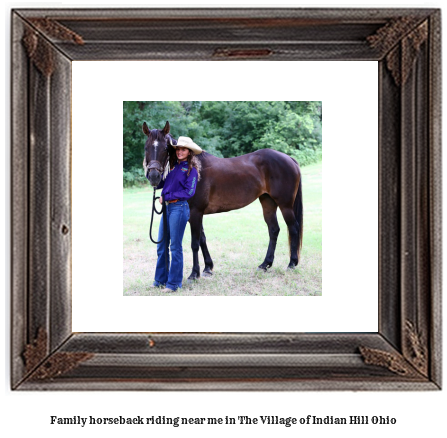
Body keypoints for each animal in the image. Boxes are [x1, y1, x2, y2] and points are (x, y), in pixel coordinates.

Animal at [144, 121, 304, 282]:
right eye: (146, 147)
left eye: (165, 148)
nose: (153, 176)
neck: (194, 167)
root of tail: (289, 159)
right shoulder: (194, 215)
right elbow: (202, 239)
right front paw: (208, 268)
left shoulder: (196, 213)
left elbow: (195, 243)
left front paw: (194, 273)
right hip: (268, 202)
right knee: (273, 229)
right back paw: (265, 264)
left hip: (285, 205)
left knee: (293, 228)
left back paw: (291, 263)